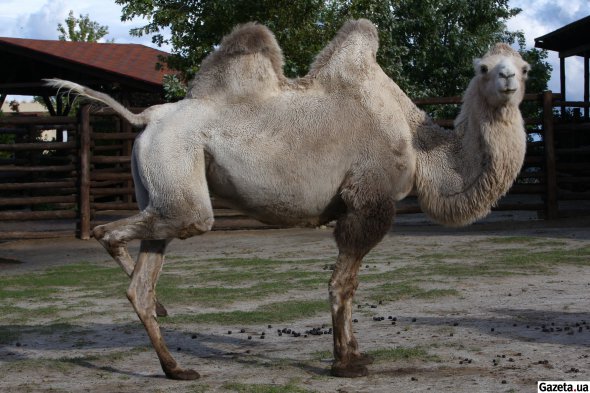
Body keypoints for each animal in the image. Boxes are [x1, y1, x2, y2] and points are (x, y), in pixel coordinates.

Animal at [46, 19, 532, 380]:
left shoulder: (356, 206)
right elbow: (342, 284)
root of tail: (146, 117)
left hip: (161, 185)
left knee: (142, 280)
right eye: (483, 67)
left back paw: (175, 367)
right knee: (119, 229)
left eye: (524, 66)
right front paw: (344, 363)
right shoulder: (368, 201)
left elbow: (351, 285)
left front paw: (356, 353)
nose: (508, 79)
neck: (419, 147)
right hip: (179, 179)